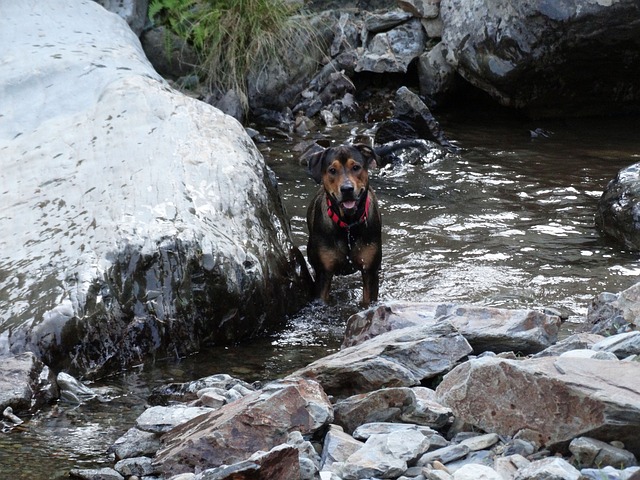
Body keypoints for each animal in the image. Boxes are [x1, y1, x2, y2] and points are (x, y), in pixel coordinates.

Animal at [304, 144, 380, 306]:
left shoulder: (369, 270)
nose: (347, 189)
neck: (348, 224)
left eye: (356, 167)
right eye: (332, 170)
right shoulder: (323, 273)